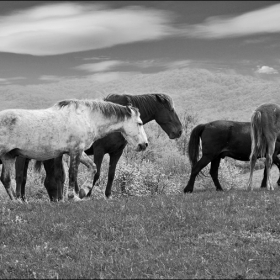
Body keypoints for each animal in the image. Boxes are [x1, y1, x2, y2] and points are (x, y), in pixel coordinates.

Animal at [12, 92, 183, 201]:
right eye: (170, 109)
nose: (180, 131)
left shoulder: (116, 153)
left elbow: (111, 174)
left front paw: (107, 195)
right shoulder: (100, 151)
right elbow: (97, 173)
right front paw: (87, 195)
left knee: (49, 179)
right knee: (43, 178)